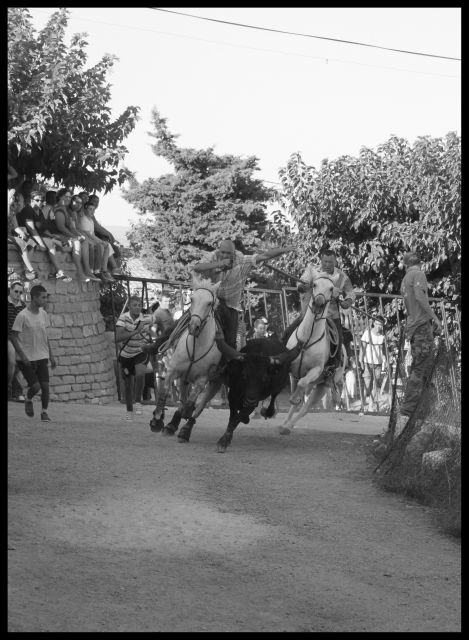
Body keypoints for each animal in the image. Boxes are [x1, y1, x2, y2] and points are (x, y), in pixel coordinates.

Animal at [151, 276, 222, 440]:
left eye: (209, 303)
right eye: (192, 299)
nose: (193, 326)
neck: (197, 346)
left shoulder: (202, 380)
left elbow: (191, 403)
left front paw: (184, 420)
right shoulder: (173, 371)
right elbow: (164, 393)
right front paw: (157, 420)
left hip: (215, 384)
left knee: (198, 407)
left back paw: (185, 429)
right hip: (183, 378)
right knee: (182, 399)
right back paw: (171, 425)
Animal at [278, 272, 348, 432]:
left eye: (331, 288)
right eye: (314, 285)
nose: (318, 303)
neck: (307, 339)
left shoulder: (315, 370)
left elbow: (302, 384)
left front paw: (294, 398)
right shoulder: (289, 368)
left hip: (323, 385)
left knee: (305, 408)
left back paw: (288, 426)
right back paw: (284, 424)